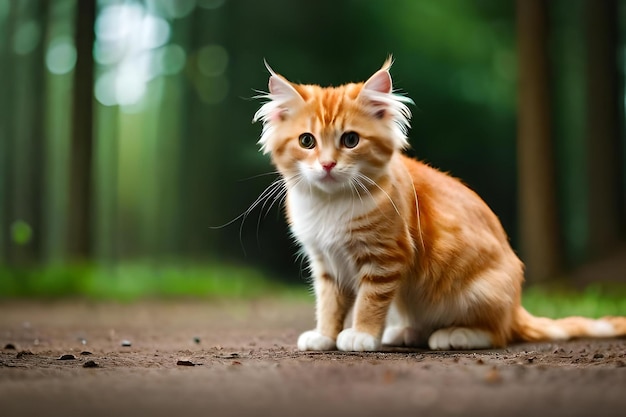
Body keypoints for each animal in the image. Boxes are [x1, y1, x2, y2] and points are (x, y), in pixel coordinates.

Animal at [251, 57, 620, 352]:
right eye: (307, 141)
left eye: (350, 140)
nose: (327, 165)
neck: (330, 205)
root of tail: (516, 308)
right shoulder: (326, 264)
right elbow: (329, 305)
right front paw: (325, 336)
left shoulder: (385, 258)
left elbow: (369, 302)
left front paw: (362, 335)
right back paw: (405, 332)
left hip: (477, 292)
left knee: (499, 333)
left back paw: (454, 334)